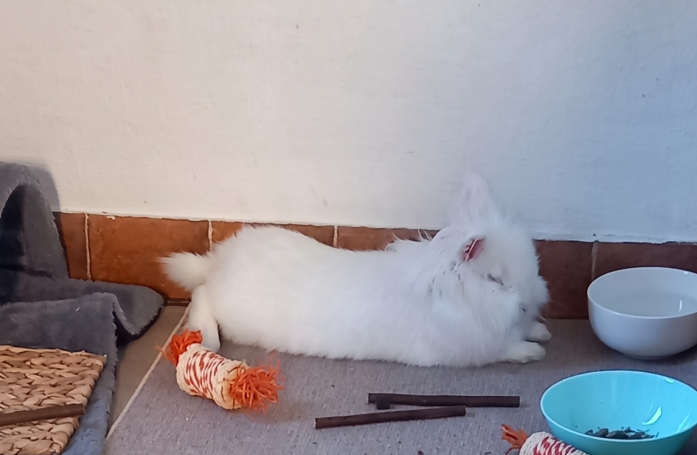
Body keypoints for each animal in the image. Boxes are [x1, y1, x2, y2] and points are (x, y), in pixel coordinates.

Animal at [162, 174, 550, 367]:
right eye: (495, 279)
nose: (529, 303)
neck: (454, 296)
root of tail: (219, 260)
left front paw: (541, 331)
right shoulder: (466, 351)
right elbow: (503, 350)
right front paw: (533, 352)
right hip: (231, 310)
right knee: (201, 296)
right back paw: (209, 339)